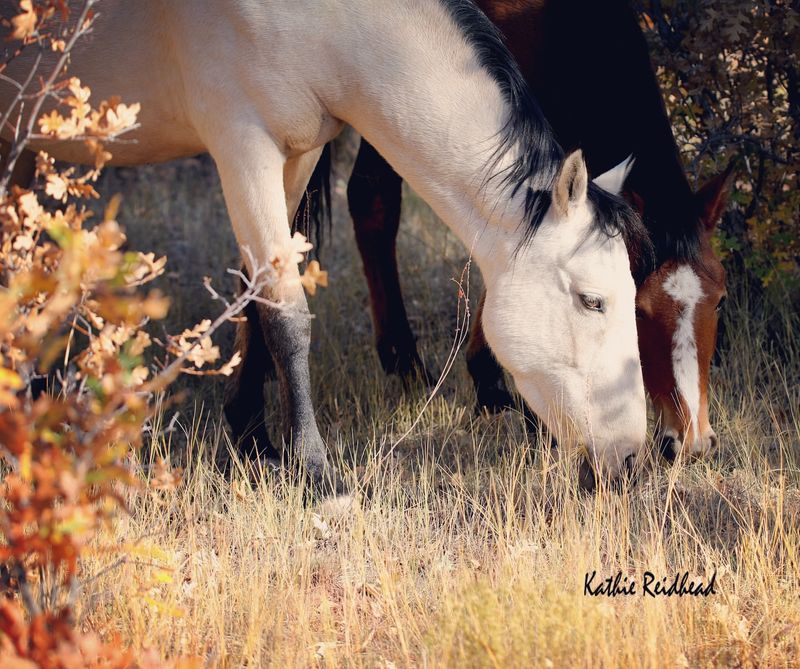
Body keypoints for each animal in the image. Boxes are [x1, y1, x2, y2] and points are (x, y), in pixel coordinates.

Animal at [0, 0, 648, 490]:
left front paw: (252, 438)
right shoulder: (242, 144)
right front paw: (311, 470)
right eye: (593, 301)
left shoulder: (297, 154)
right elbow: (287, 314)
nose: (631, 458)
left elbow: (254, 291)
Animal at [330, 0, 732, 462]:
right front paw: (500, 392)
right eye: (639, 310)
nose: (692, 440)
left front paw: (491, 384)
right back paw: (402, 361)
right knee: (370, 197)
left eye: (720, 300)